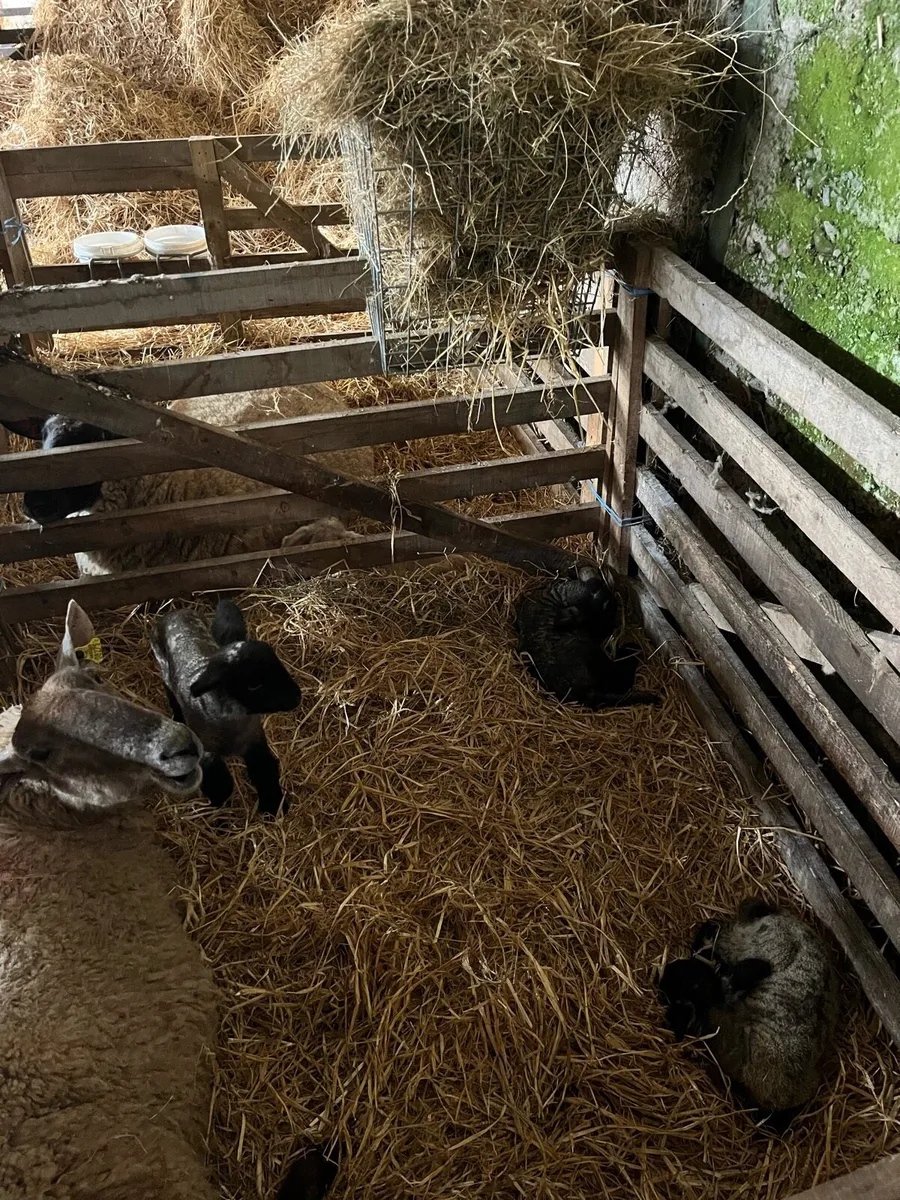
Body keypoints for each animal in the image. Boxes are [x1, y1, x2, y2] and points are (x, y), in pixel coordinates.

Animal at [151, 597, 302, 816]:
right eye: (253, 684)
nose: (297, 697)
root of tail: (173, 613)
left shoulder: (255, 740)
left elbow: (265, 772)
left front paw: (274, 807)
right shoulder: (206, 751)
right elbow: (220, 783)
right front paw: (220, 810)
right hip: (164, 671)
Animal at [514, 564, 659, 709]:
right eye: (608, 608)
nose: (610, 628)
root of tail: (584, 693)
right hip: (598, 661)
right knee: (622, 681)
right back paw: (631, 648)